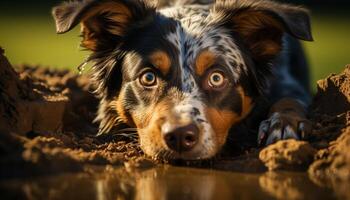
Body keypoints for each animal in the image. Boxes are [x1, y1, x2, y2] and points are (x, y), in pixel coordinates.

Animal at [53, 0, 314, 159]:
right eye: (148, 77)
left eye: (216, 78)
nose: (179, 137)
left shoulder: (288, 83)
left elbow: (290, 100)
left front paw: (283, 123)